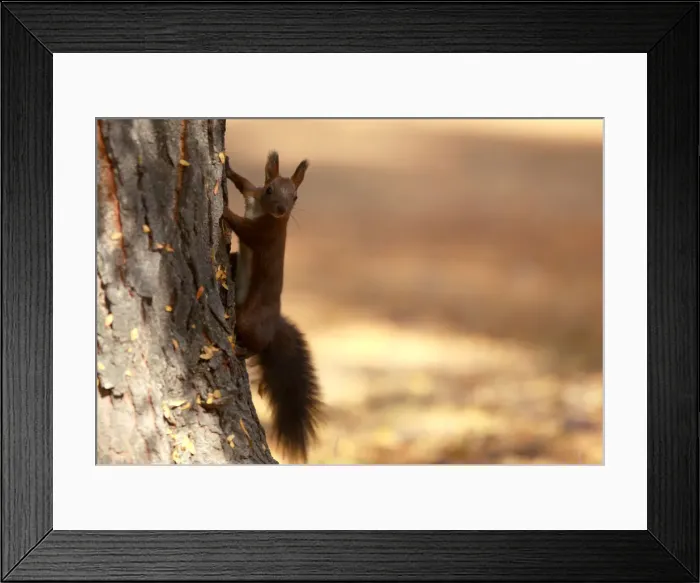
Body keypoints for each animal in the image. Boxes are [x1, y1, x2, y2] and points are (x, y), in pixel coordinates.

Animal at [221, 150, 323, 463]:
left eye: (296, 197)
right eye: (269, 189)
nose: (281, 209)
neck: (264, 212)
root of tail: (274, 323)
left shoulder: (264, 234)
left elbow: (242, 228)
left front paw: (225, 211)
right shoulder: (252, 194)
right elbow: (243, 182)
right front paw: (227, 168)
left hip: (249, 320)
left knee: (258, 345)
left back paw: (241, 351)